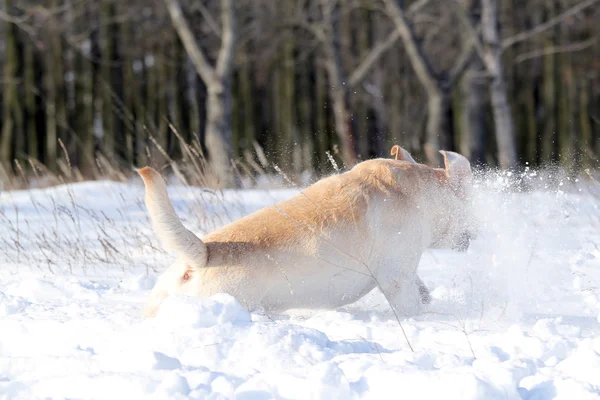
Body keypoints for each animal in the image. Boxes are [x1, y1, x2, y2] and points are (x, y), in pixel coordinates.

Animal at [139, 147, 474, 318]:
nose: (472, 237)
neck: (418, 193)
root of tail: (203, 255)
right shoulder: (396, 276)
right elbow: (411, 305)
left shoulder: (404, 271)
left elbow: (422, 289)